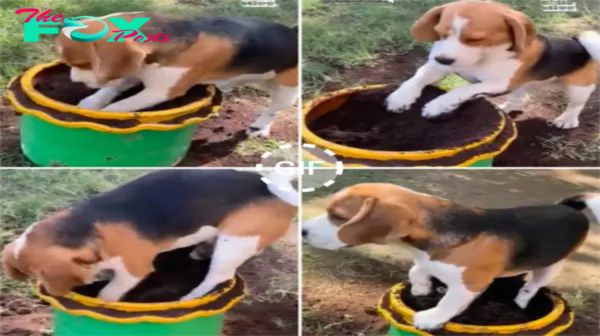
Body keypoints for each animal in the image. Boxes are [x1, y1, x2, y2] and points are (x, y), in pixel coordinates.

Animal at [2, 171, 298, 302]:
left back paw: (187, 298)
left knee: (218, 276)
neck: (88, 227)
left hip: (235, 240)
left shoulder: (135, 268)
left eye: (40, 274)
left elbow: (110, 292)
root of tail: (275, 189)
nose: (48, 293)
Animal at [58, 12, 298, 137]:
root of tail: (294, 33)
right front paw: (90, 103)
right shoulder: (135, 70)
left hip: (287, 90)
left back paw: (260, 127)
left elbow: (121, 106)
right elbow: (112, 88)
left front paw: (106, 115)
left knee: (274, 109)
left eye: (83, 63)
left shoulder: (161, 90)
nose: (73, 80)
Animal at [304, 182, 600, 330]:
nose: (303, 231)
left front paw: (429, 317)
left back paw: (522, 300)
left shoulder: (469, 284)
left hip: (551, 265)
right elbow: (417, 269)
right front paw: (422, 288)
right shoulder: (429, 258)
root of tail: (569, 207)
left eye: (339, 216)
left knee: (533, 285)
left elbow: (448, 302)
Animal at [384, 0, 600, 129]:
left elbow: (460, 90)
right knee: (522, 98)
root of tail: (579, 44)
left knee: (576, 105)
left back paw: (566, 120)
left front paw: (438, 106)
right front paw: (400, 98)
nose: (442, 59)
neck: (483, 58)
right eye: (441, 33)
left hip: (579, 88)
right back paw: (506, 108)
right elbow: (415, 79)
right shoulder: (436, 68)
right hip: (522, 85)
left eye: (475, 39)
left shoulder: (498, 83)